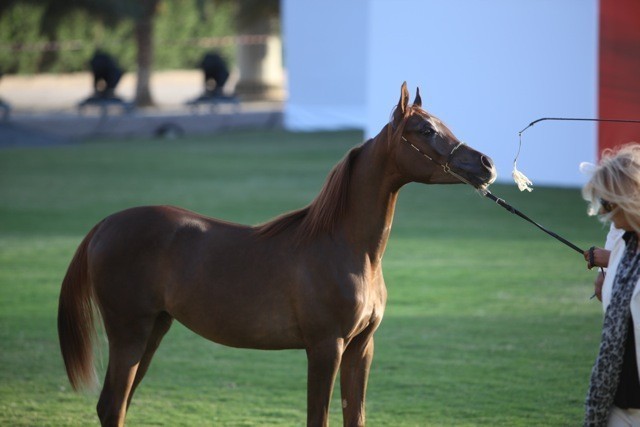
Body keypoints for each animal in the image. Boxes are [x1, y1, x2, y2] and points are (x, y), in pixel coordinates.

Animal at [58, 82, 497, 426]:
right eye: (426, 129)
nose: (486, 164)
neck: (347, 248)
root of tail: (105, 225)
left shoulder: (361, 348)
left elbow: (354, 416)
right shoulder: (326, 348)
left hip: (153, 331)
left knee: (116, 406)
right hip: (129, 333)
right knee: (112, 406)